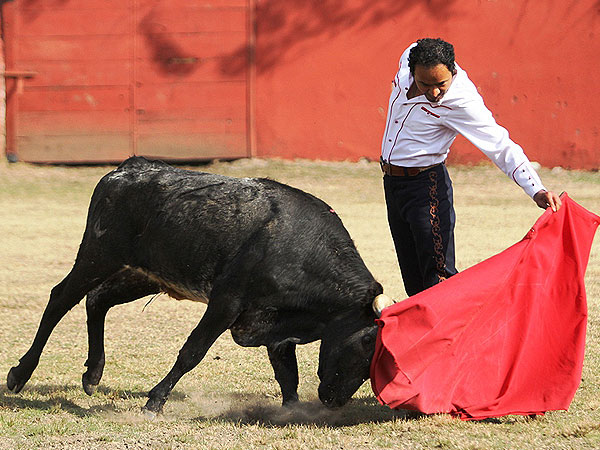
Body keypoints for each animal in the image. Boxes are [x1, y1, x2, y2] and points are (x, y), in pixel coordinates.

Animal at [7, 157, 396, 414]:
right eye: (367, 342)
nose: (334, 401)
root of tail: (123, 170)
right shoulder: (227, 302)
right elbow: (193, 351)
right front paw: (154, 401)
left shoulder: (273, 320)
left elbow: (287, 370)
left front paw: (292, 410)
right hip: (98, 254)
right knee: (61, 299)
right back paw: (19, 374)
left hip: (145, 273)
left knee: (97, 300)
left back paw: (92, 375)